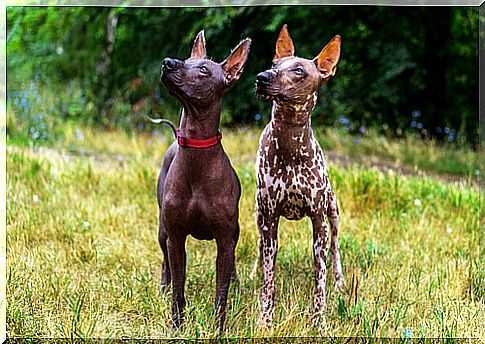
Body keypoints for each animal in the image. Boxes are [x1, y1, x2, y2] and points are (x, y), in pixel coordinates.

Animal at [158, 30, 250, 334]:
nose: (168, 62)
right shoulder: (176, 238)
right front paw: (176, 327)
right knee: (165, 263)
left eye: (203, 70)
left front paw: (219, 329)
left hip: (234, 235)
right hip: (162, 231)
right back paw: (161, 287)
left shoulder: (224, 240)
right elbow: (179, 288)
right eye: (186, 60)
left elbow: (221, 292)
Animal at [253, 24, 344, 330]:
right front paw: (265, 318)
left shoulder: (319, 223)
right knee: (260, 249)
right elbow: (269, 280)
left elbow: (320, 281)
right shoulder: (270, 219)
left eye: (299, 71)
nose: (262, 77)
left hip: (333, 213)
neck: (291, 143)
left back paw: (340, 283)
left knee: (336, 249)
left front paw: (320, 321)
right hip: (258, 214)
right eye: (273, 65)